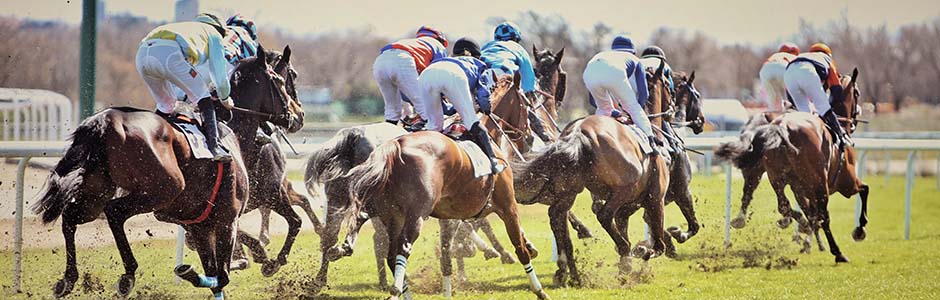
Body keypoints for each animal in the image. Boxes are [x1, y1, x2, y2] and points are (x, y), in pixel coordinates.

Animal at [32, 45, 298, 298]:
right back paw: (128, 274)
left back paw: (68, 279)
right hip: (162, 189)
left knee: (70, 216)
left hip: (96, 193)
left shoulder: (199, 226)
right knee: (114, 212)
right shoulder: (226, 220)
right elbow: (221, 276)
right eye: (283, 80)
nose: (297, 115)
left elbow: (216, 277)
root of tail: (104, 121)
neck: (231, 134)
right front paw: (200, 270)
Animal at [346, 73, 552, 300]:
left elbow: (446, 256)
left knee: (390, 253)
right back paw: (394, 290)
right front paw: (539, 289)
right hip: (415, 216)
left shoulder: (450, 218)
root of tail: (395, 146)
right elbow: (519, 248)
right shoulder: (508, 206)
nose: (530, 136)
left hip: (392, 216)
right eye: (526, 104)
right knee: (402, 249)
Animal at [510, 62, 672, 288]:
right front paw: (638, 253)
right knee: (603, 215)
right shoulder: (655, 199)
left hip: (569, 191)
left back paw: (569, 273)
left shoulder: (627, 209)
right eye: (667, 85)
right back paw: (619, 252)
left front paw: (627, 264)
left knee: (557, 217)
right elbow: (658, 246)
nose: (672, 108)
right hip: (623, 189)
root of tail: (577, 133)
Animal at [716, 68, 872, 262]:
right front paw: (859, 230)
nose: (857, 115)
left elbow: (808, 213)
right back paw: (837, 252)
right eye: (857, 93)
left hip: (771, 175)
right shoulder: (847, 184)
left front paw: (807, 237)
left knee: (772, 200)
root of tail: (781, 125)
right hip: (819, 185)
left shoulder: (802, 189)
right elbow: (865, 190)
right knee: (822, 216)